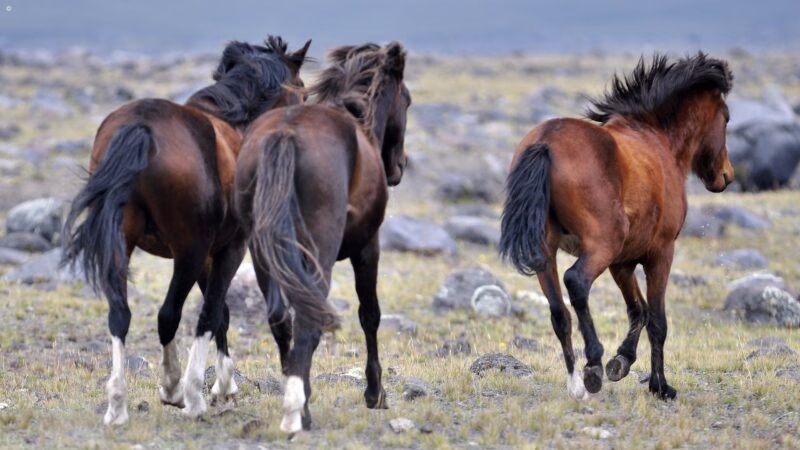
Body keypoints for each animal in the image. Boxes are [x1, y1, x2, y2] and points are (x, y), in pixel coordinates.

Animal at [61, 36, 311, 425]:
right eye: (303, 92)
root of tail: (142, 126)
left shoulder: (209, 255)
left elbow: (221, 313)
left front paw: (225, 385)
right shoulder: (229, 249)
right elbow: (212, 313)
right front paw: (207, 390)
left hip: (124, 244)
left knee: (120, 315)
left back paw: (117, 405)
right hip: (188, 253)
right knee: (169, 315)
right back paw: (177, 390)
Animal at [233, 42, 410, 433]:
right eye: (406, 99)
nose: (400, 166)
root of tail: (285, 134)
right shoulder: (368, 247)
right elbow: (370, 314)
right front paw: (375, 393)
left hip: (262, 253)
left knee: (280, 318)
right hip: (319, 253)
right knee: (307, 318)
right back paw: (302, 410)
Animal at [499, 53, 733, 401]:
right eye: (727, 118)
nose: (726, 176)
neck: (657, 139)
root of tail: (546, 143)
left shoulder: (622, 263)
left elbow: (638, 310)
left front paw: (621, 361)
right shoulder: (660, 253)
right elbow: (657, 320)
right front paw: (660, 386)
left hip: (547, 252)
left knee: (559, 312)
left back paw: (576, 382)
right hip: (602, 246)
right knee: (576, 282)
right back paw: (593, 365)